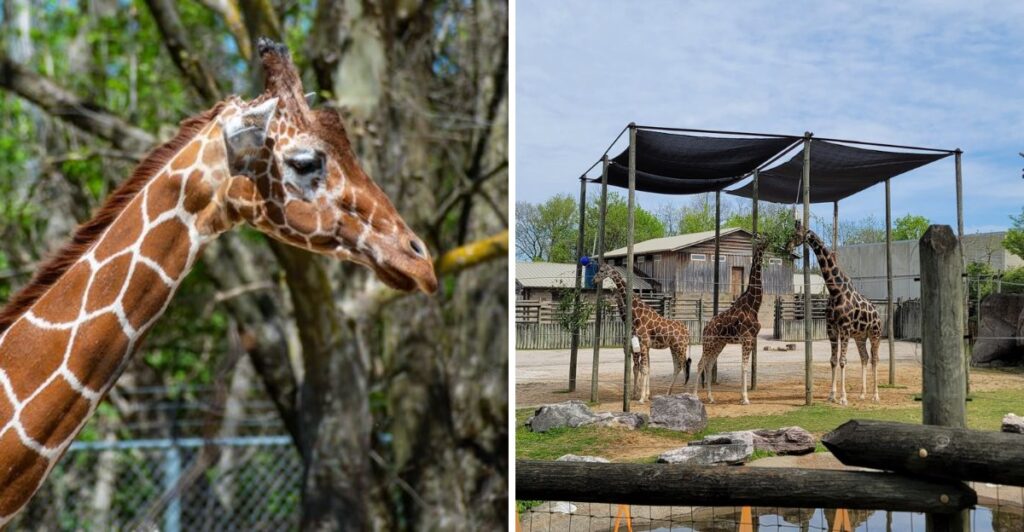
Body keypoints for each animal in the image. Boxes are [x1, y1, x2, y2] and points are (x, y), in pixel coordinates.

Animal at [592, 263, 690, 404]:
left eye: (601, 270)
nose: (594, 280)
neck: (636, 314)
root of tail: (687, 331)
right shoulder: (641, 346)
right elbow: (644, 368)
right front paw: (643, 395)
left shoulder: (643, 344)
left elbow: (642, 369)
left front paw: (641, 398)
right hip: (674, 347)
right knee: (677, 367)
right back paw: (668, 393)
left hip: (681, 347)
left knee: (684, 365)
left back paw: (688, 393)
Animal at [692, 237, 768, 405]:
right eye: (761, 239)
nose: (769, 242)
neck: (754, 305)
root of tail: (705, 328)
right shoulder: (747, 338)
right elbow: (744, 366)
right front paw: (745, 399)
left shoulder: (751, 339)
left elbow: (744, 366)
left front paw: (741, 397)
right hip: (709, 343)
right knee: (701, 364)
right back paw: (694, 396)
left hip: (719, 344)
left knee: (709, 365)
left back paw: (711, 397)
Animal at [788, 220, 881, 405]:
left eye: (796, 234)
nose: (787, 247)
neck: (835, 290)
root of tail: (878, 314)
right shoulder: (831, 328)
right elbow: (832, 361)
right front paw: (832, 395)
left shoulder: (844, 328)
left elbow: (843, 361)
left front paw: (843, 398)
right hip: (860, 336)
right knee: (865, 357)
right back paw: (862, 394)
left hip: (875, 334)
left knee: (875, 359)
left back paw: (875, 395)